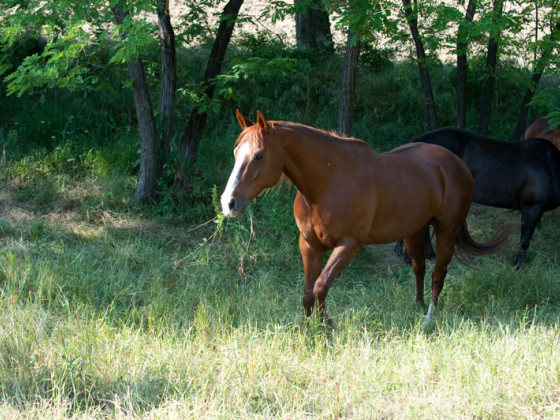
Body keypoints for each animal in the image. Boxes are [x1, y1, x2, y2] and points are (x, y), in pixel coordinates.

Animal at [222, 110, 508, 322]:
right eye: (236, 153)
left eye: (259, 155)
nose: (228, 203)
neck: (327, 181)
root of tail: (457, 165)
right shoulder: (309, 244)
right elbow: (307, 293)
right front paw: (307, 329)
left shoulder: (349, 245)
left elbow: (320, 287)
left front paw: (327, 327)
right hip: (414, 231)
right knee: (419, 267)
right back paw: (416, 307)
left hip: (447, 229)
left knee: (439, 273)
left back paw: (428, 319)